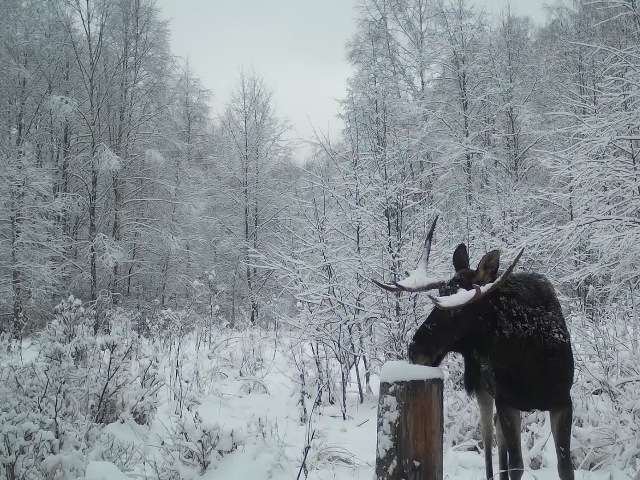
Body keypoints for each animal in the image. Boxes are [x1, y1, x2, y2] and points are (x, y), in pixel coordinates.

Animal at [373, 217, 574, 480]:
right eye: (439, 297)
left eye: (458, 307)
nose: (416, 350)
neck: (528, 359)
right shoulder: (505, 399)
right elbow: (516, 464)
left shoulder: (562, 399)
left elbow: (565, 466)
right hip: (481, 388)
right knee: (488, 439)